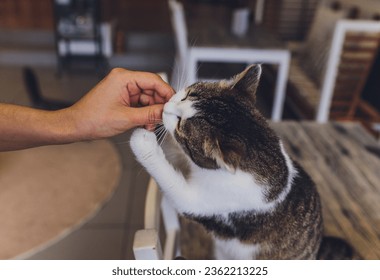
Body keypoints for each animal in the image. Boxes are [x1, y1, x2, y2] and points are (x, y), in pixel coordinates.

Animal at [131, 64, 356, 260]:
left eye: (180, 124)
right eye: (185, 95)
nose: (166, 107)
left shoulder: (203, 203)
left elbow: (172, 182)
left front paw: (143, 142)